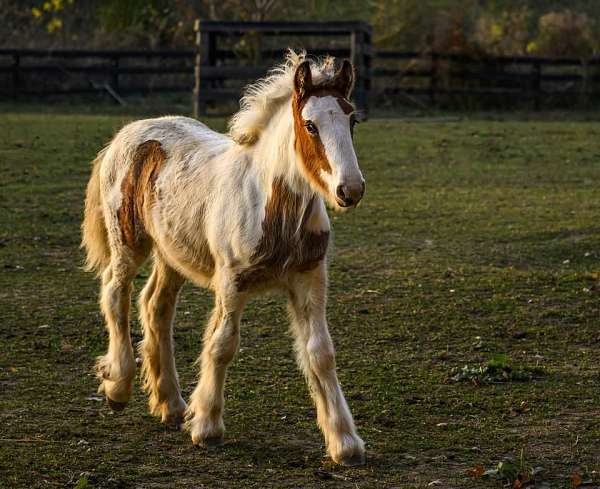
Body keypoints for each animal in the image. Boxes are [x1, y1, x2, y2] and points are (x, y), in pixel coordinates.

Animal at [81, 50, 366, 466]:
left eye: (352, 119)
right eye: (310, 125)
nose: (351, 189)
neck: (273, 208)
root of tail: (127, 132)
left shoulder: (310, 278)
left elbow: (320, 353)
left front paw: (344, 441)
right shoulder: (232, 281)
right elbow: (222, 344)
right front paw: (207, 427)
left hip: (173, 254)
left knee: (155, 307)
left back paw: (171, 404)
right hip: (128, 243)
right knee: (115, 295)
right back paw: (118, 386)